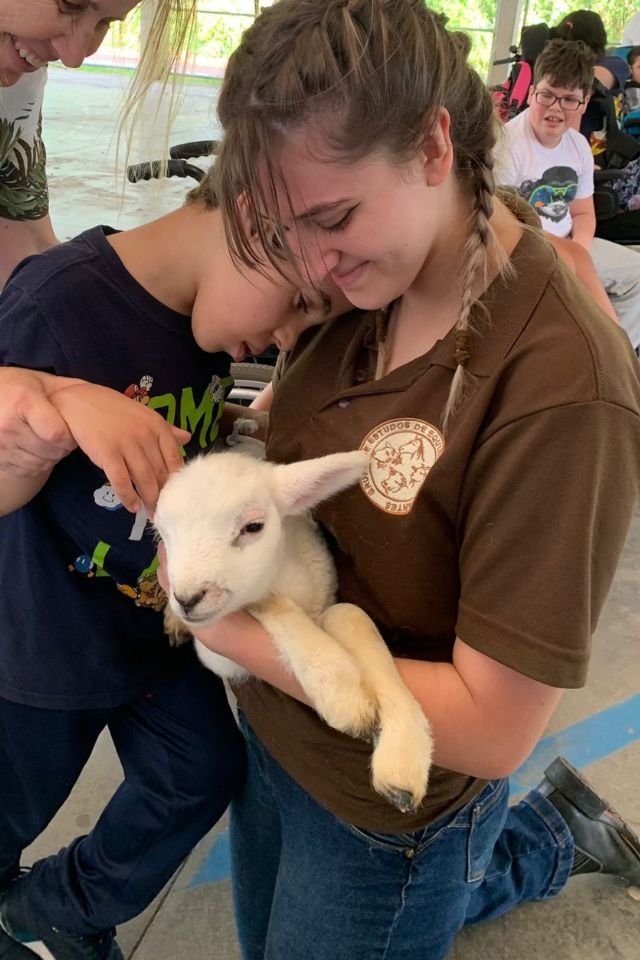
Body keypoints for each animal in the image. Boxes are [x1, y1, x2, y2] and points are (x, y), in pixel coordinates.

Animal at [155, 448, 436, 808]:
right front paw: (345, 697)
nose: (187, 599)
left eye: (253, 526)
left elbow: (349, 614)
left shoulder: (328, 600)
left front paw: (403, 754)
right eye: (162, 535)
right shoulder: (220, 654)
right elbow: (269, 602)